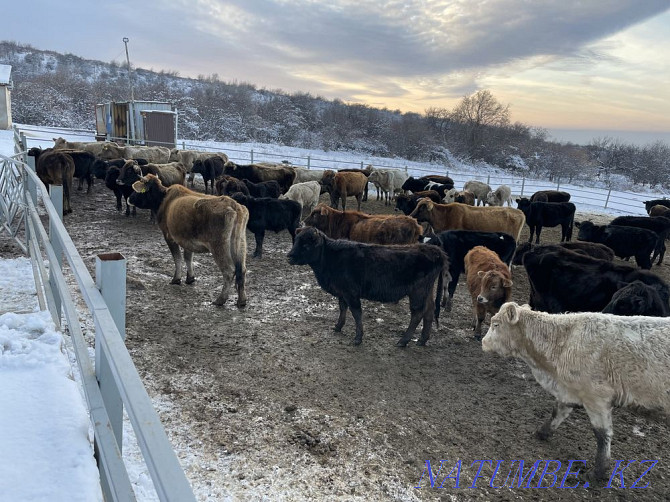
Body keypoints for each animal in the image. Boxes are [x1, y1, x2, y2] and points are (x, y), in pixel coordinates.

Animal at [128, 176, 249, 310]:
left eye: (137, 189)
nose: (129, 198)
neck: (164, 200)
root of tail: (234, 205)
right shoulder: (188, 240)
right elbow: (188, 257)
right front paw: (190, 278)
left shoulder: (169, 237)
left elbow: (177, 258)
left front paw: (176, 279)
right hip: (240, 244)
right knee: (242, 271)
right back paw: (241, 301)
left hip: (219, 246)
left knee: (229, 271)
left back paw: (220, 299)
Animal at [286, 226, 448, 348]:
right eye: (296, 241)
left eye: (306, 245)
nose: (289, 256)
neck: (330, 258)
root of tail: (434, 250)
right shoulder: (342, 292)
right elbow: (342, 308)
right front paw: (338, 326)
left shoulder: (351, 292)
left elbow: (356, 313)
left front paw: (358, 338)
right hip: (427, 290)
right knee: (429, 311)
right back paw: (422, 339)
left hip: (417, 291)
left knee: (417, 313)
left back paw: (403, 341)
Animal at [484, 302, 670, 482]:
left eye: (496, 324)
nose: (483, 342)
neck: (564, 341)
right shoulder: (569, 391)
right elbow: (557, 413)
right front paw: (541, 433)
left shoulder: (596, 398)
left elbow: (602, 435)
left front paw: (598, 472)